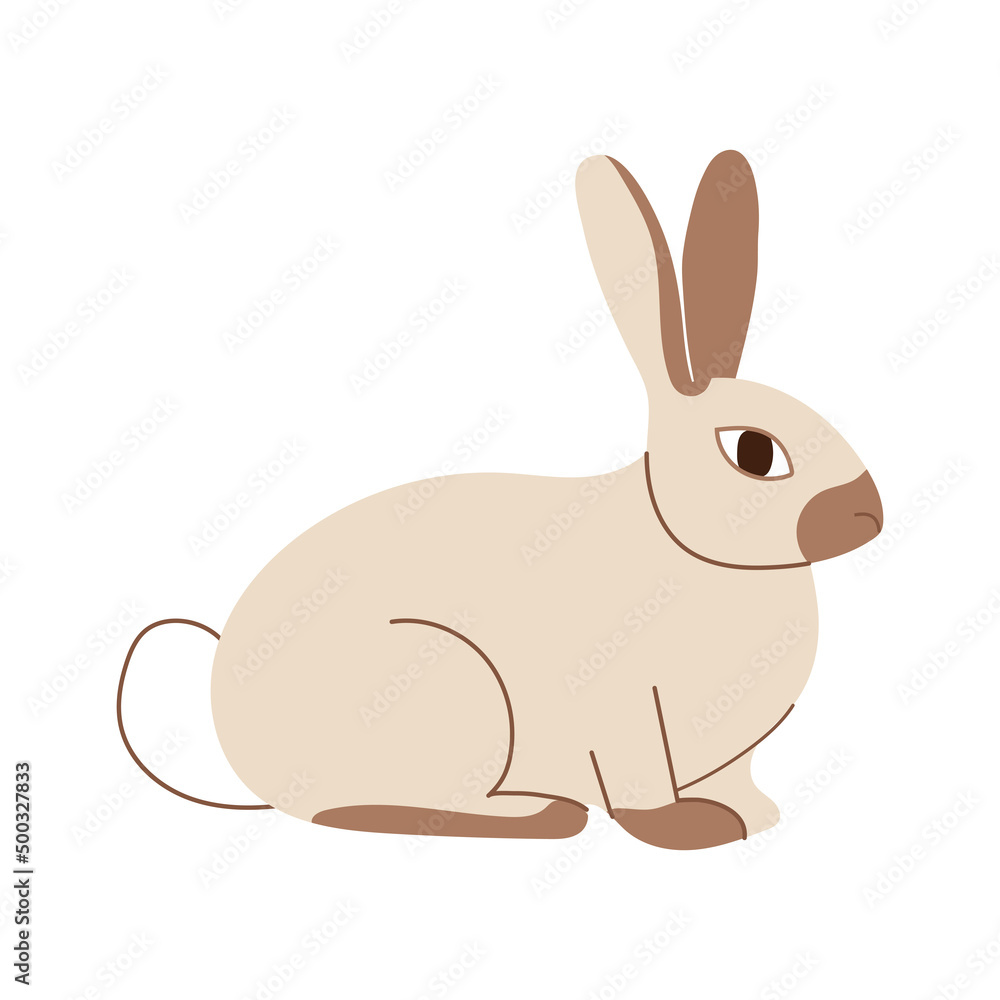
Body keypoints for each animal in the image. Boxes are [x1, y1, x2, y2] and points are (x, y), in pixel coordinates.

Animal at [117, 151, 882, 850]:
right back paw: (539, 814)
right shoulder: (625, 714)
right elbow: (640, 786)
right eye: (753, 453)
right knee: (370, 810)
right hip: (450, 693)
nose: (866, 516)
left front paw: (755, 818)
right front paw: (689, 827)